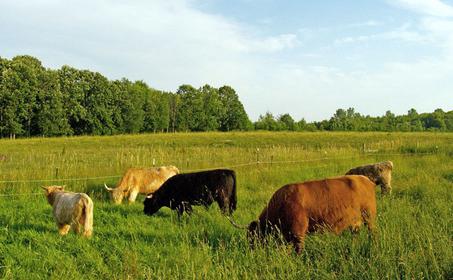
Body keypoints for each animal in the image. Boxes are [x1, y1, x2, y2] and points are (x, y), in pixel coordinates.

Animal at [245, 176, 376, 255]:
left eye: (253, 236)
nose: (251, 252)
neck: (282, 203)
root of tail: (364, 179)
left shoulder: (298, 233)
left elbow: (298, 250)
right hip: (355, 223)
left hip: (369, 218)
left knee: (372, 233)